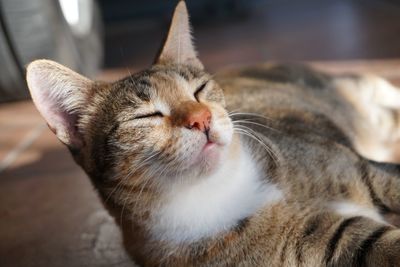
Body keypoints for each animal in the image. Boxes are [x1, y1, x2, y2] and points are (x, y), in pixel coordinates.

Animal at [25, 1, 400, 266]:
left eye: (199, 90)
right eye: (146, 115)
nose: (201, 118)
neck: (221, 186)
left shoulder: (361, 168)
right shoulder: (333, 240)